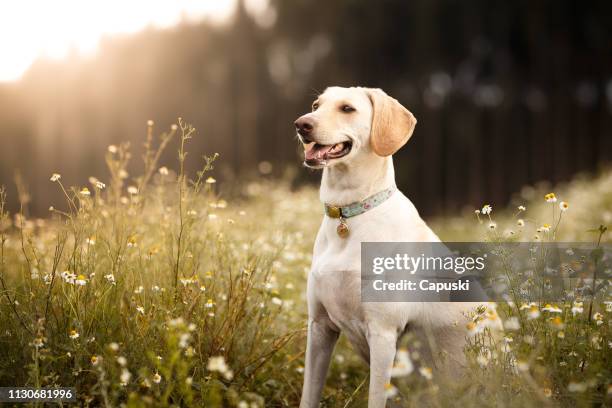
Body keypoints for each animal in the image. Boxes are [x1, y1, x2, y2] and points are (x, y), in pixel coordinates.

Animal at [294, 87, 476, 408]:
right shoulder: (319, 327)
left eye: (347, 108)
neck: (349, 214)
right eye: (316, 106)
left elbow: (376, 398)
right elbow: (309, 394)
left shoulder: (383, 334)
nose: (301, 124)